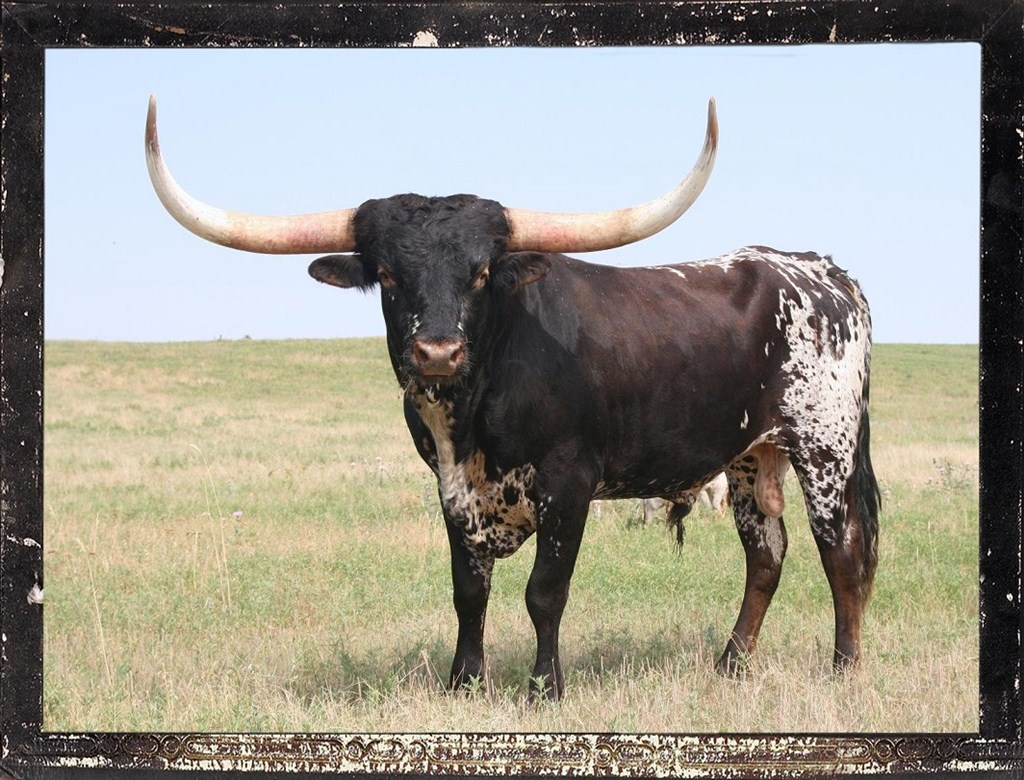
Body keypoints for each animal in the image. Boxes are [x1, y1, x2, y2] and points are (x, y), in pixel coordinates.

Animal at [145, 96, 880, 700]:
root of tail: (820, 270)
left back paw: (844, 669)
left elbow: (544, 593)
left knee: (841, 552)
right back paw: (730, 666)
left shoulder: (569, 482)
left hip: (826, 447)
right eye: (388, 275)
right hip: (751, 455)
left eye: (480, 273)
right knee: (767, 555)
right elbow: (469, 591)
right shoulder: (450, 485)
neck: (473, 409)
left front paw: (543, 688)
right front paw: (463, 682)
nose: (437, 352)